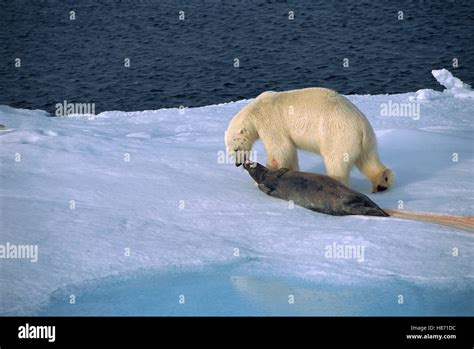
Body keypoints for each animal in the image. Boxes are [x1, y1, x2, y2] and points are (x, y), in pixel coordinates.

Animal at [224, 86, 394, 190]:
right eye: (231, 152)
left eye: (236, 149)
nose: (238, 164)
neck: (254, 111)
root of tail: (361, 124)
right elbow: (289, 151)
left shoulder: (270, 122)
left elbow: (279, 149)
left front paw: (267, 174)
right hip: (365, 140)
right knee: (368, 159)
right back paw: (382, 182)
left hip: (337, 135)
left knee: (336, 162)